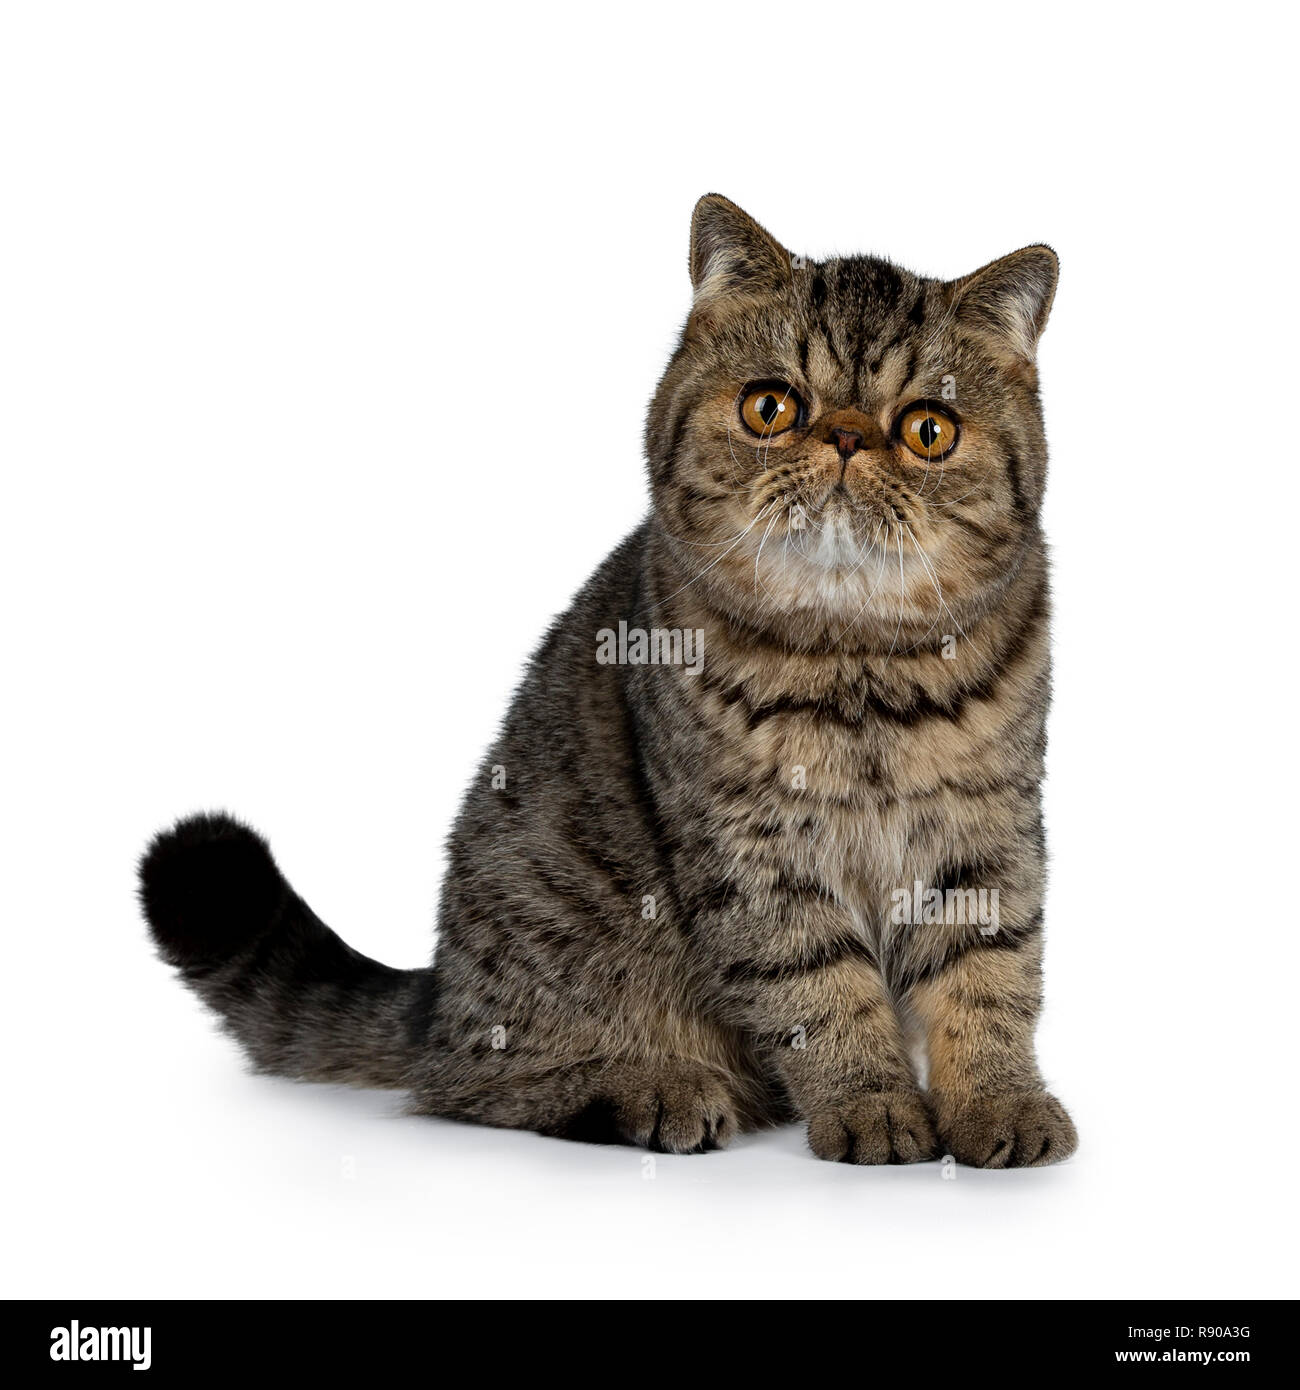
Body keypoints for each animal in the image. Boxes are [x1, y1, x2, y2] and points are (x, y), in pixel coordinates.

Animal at [139, 195, 1078, 1167]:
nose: (849, 438)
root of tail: (436, 996)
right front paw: (874, 1105)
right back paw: (648, 1088)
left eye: (929, 430)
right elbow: (820, 994)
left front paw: (1000, 1101)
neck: (860, 671)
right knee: (469, 1083)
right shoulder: (754, 859)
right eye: (771, 407)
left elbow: (991, 978)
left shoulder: (989, 832)